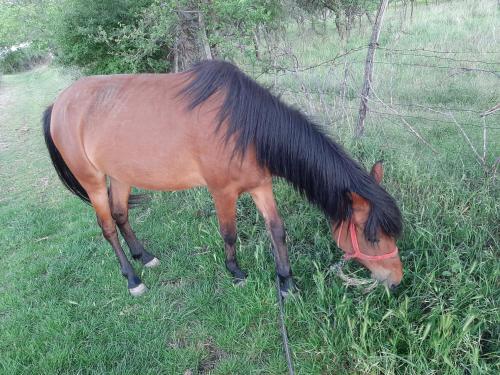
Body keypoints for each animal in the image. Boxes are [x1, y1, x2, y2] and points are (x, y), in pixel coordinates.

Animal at [42, 60, 402, 298]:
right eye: (372, 238)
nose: (396, 279)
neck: (244, 125)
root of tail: (58, 103)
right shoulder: (222, 192)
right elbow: (229, 233)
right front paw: (237, 273)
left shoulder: (260, 185)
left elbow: (277, 230)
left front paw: (286, 282)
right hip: (93, 182)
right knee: (107, 227)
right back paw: (132, 279)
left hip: (121, 175)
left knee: (120, 215)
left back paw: (144, 256)